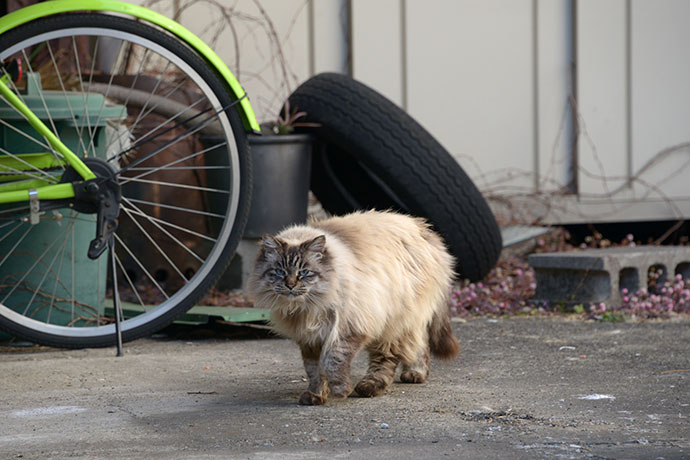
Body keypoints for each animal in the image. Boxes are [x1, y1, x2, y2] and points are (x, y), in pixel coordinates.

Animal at [247, 210, 456, 404]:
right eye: (280, 272)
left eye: (304, 272)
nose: (290, 285)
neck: (309, 307)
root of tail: (423, 229)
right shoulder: (310, 339)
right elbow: (314, 370)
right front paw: (316, 395)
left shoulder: (347, 329)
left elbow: (333, 361)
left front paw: (340, 390)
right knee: (420, 344)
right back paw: (414, 373)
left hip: (392, 322)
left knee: (390, 357)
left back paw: (371, 386)